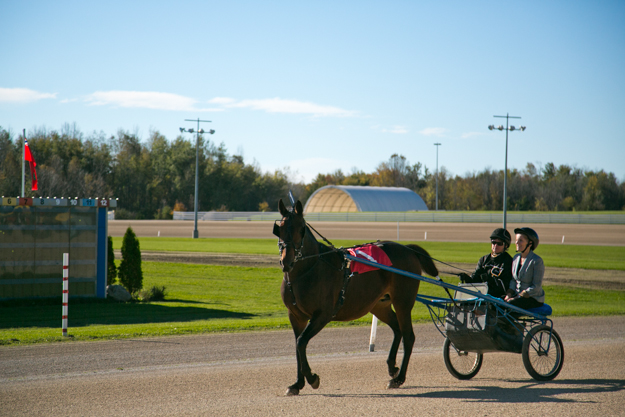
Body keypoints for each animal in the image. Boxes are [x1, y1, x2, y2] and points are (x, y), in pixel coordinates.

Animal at [272, 198, 438, 394]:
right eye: (280, 229)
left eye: (300, 228)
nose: (286, 261)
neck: (307, 270)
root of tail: (408, 249)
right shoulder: (296, 316)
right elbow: (298, 345)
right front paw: (297, 384)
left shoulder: (322, 315)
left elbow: (301, 342)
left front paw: (312, 378)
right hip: (379, 305)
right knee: (397, 329)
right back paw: (392, 367)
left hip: (403, 302)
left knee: (408, 336)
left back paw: (398, 378)